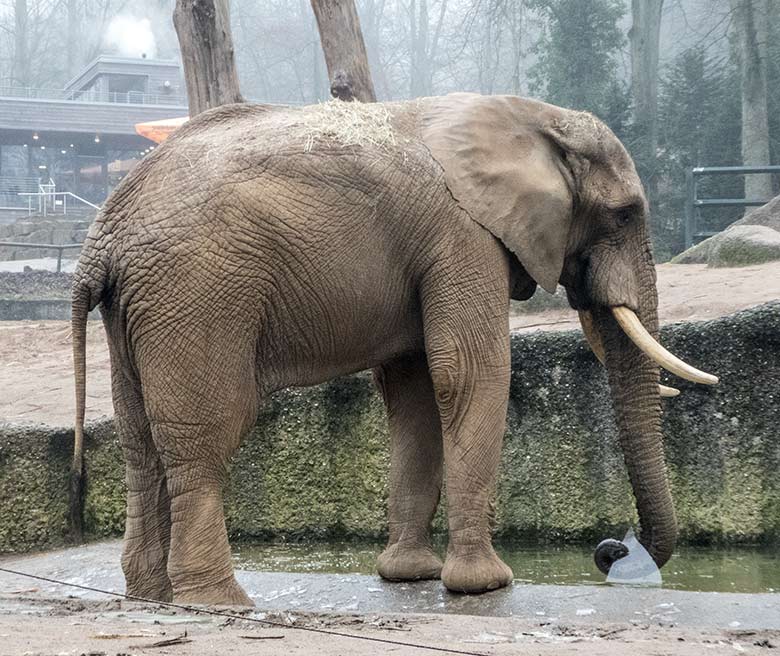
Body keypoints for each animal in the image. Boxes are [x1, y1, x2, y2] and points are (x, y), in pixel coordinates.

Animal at [71, 91, 720, 604]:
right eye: (625, 214)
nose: (611, 551)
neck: (531, 117)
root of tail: (102, 237)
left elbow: (416, 393)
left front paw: (410, 577)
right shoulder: (464, 237)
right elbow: (472, 373)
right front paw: (486, 585)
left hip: (140, 307)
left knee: (138, 442)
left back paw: (149, 596)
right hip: (199, 292)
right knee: (204, 438)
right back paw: (218, 602)